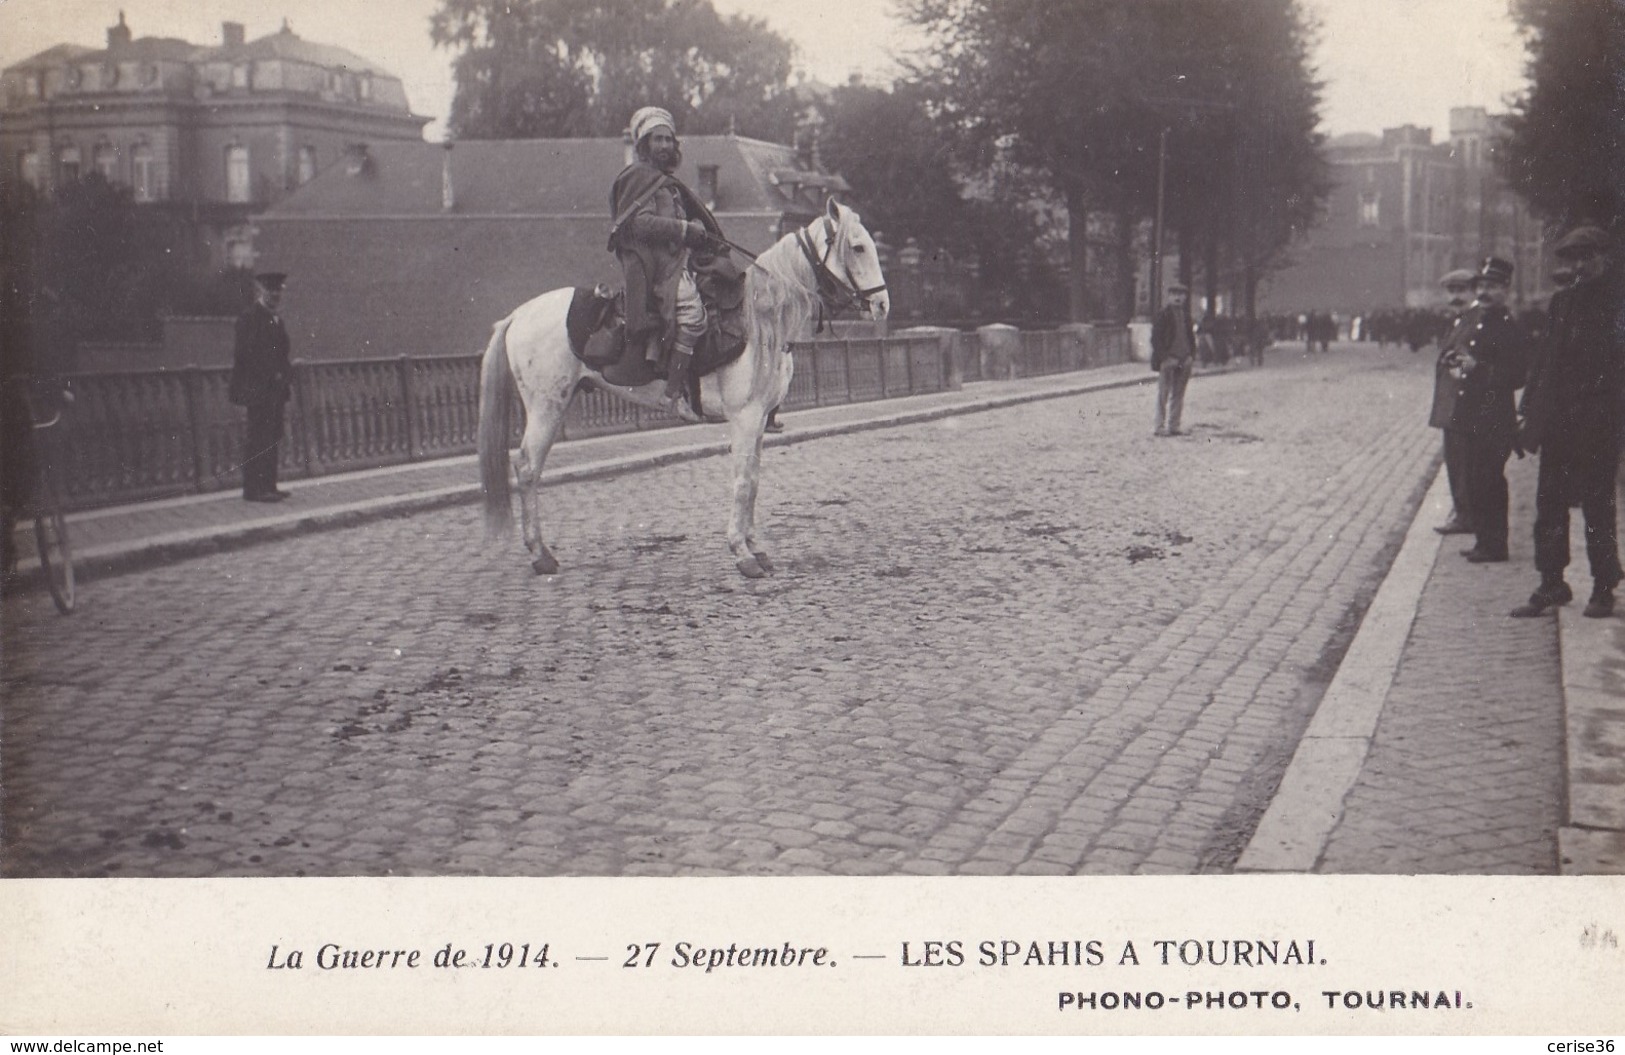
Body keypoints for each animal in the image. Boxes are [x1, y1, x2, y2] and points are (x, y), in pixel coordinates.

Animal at [474, 197, 890, 575]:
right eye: (857, 247)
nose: (883, 305)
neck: (762, 319)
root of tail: (519, 314)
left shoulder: (759, 423)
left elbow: (754, 481)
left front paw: (756, 547)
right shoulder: (745, 418)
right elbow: (743, 483)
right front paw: (742, 552)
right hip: (547, 406)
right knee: (528, 468)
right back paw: (540, 554)